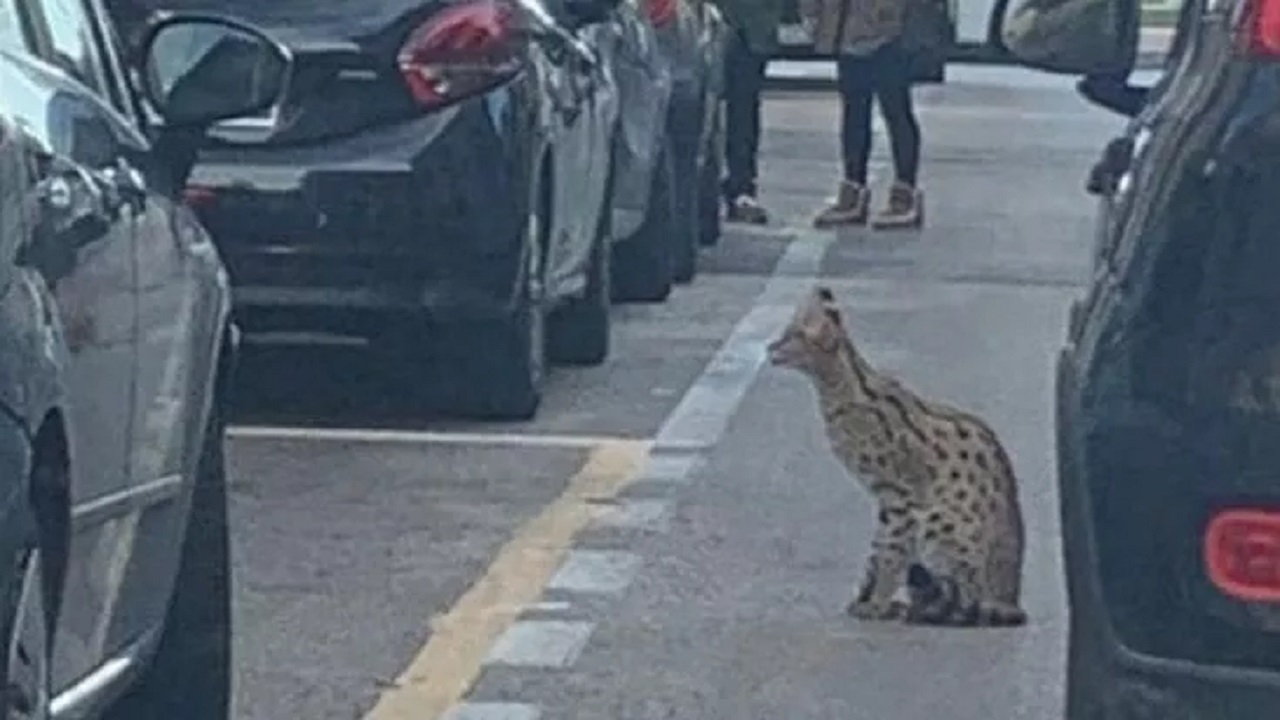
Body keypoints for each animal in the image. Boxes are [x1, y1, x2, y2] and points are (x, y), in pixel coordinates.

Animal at [762, 284, 1024, 622]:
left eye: (789, 337)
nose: (768, 348)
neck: (842, 391)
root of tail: (1012, 600)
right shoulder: (887, 500)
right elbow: (876, 551)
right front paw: (867, 597)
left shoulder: (899, 496)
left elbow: (889, 551)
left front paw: (877, 602)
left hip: (939, 520)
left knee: (969, 603)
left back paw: (927, 609)